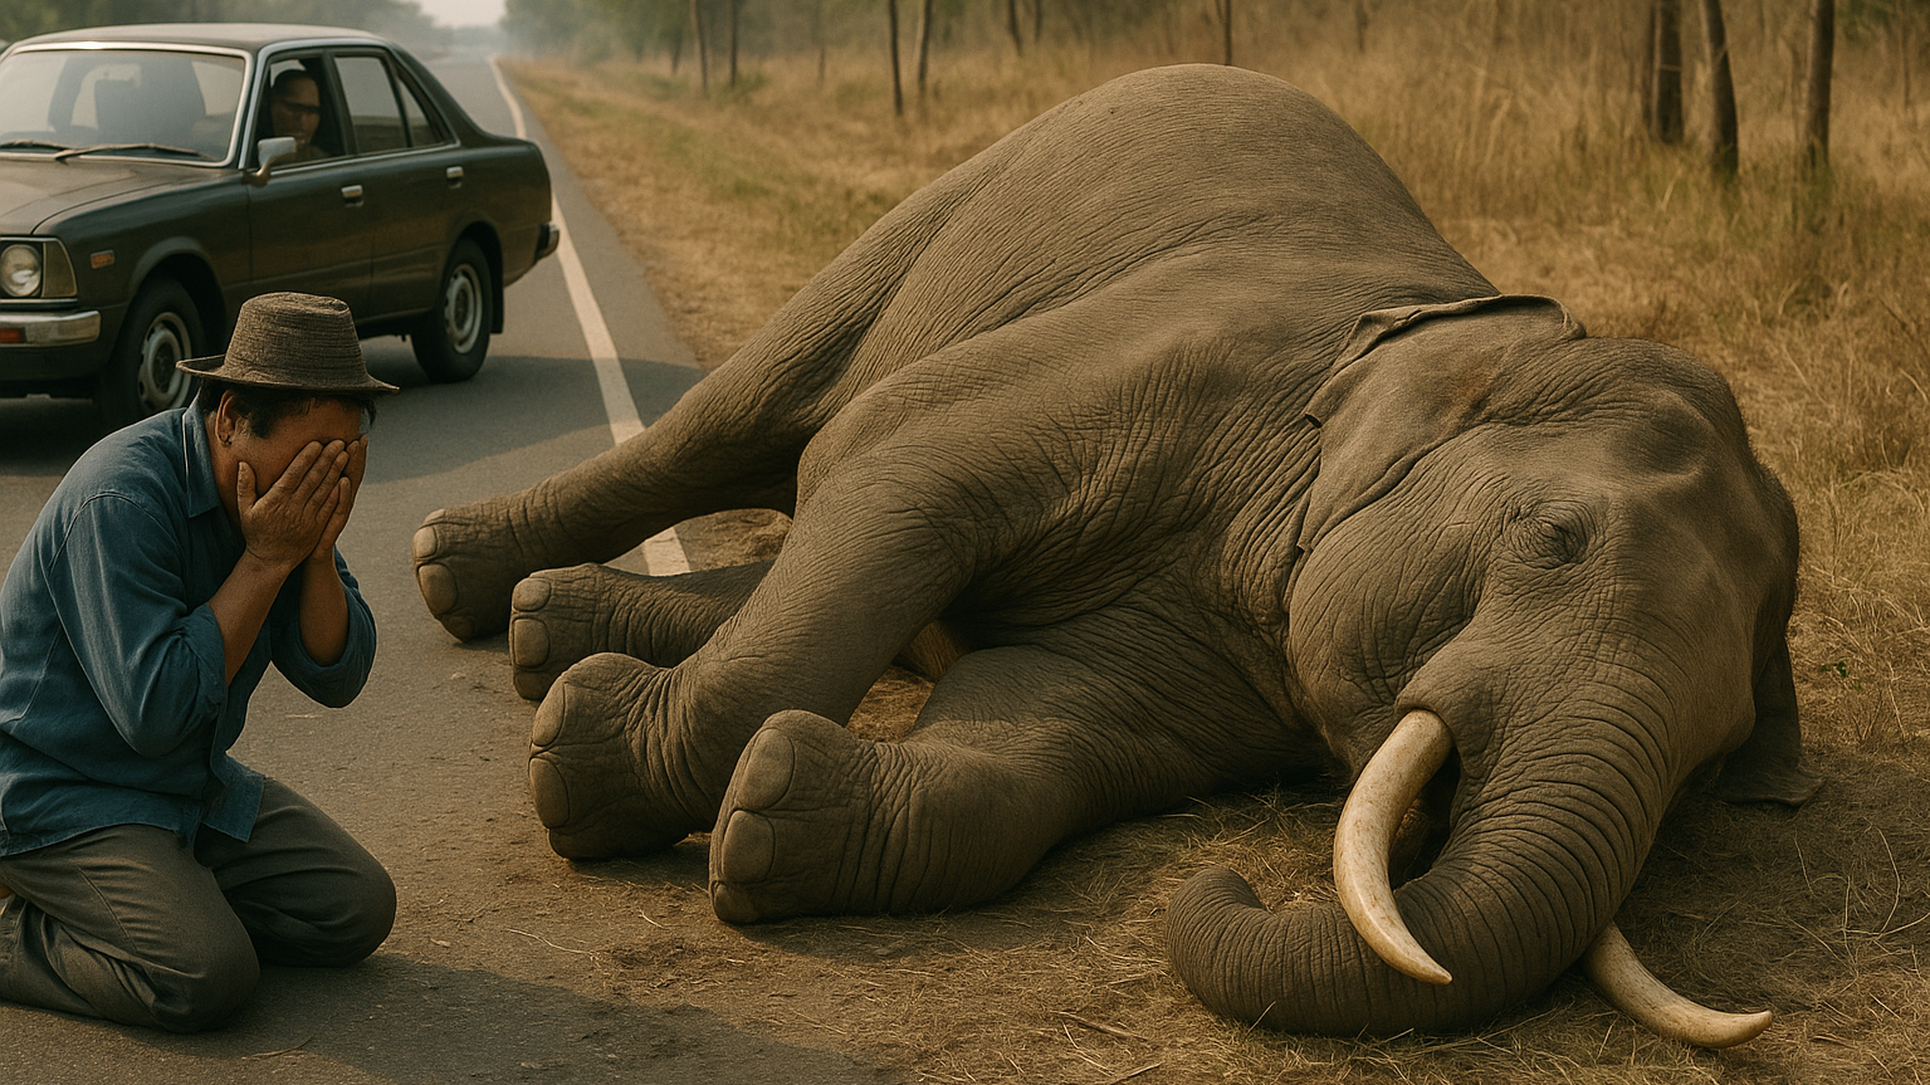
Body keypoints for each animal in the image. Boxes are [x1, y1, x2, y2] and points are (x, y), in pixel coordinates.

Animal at [409, 64, 1821, 1043]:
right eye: (1557, 537)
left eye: (1715, 754)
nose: (1230, 880)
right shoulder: (1178, 354)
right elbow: (897, 467)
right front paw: (583, 771)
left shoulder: (1230, 658)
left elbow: (1039, 729)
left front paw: (767, 819)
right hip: (946, 210)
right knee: (740, 424)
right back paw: (458, 575)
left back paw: (547, 626)